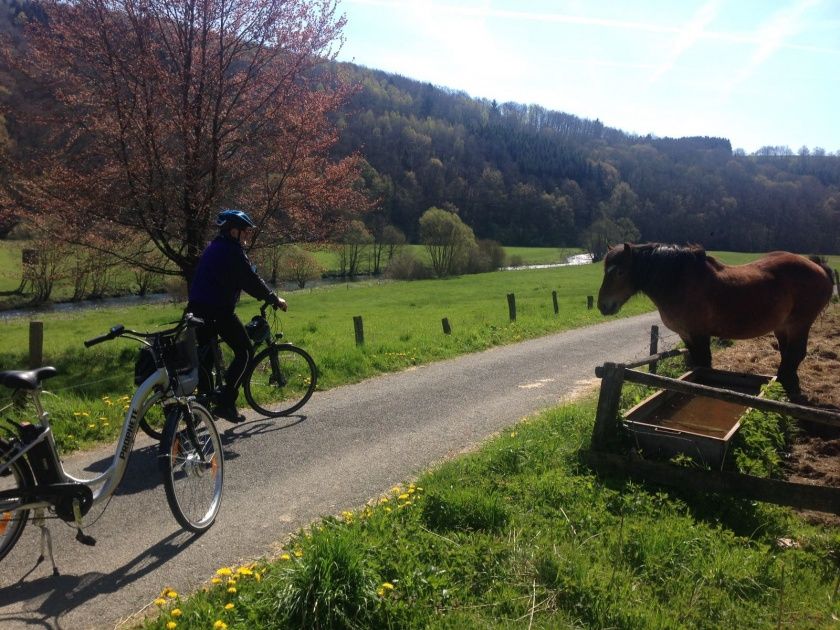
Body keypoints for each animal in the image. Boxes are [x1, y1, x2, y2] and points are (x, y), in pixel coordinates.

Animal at [596, 243, 832, 400]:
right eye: (605, 271)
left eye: (620, 271)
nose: (603, 306)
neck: (679, 281)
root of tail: (816, 265)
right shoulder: (686, 335)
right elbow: (698, 365)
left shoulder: (699, 334)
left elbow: (704, 365)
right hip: (783, 328)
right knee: (788, 356)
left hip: (799, 325)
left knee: (795, 355)